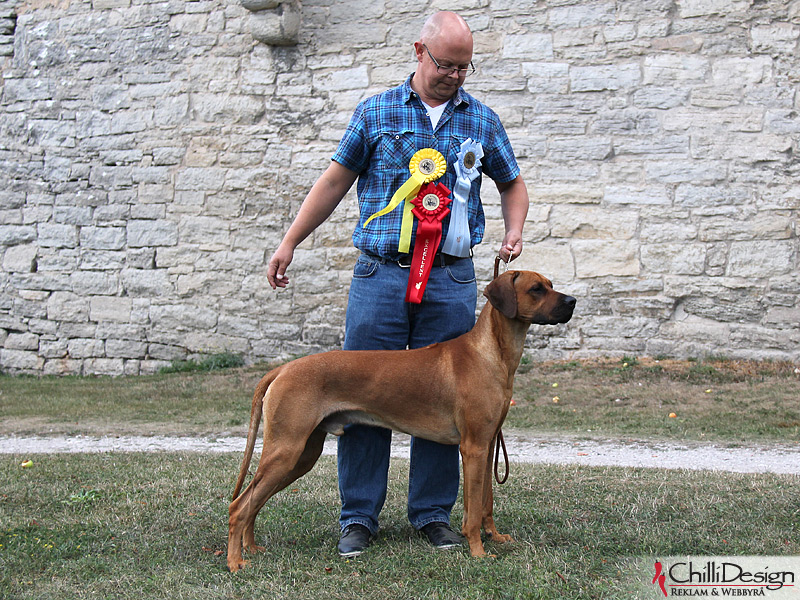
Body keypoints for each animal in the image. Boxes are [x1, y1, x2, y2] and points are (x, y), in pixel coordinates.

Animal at [225, 270, 576, 568]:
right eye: (536, 289)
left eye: (550, 284)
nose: (572, 301)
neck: (491, 353)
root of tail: (283, 368)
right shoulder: (473, 448)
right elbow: (474, 510)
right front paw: (477, 551)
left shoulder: (488, 445)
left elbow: (486, 502)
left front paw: (495, 537)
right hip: (286, 449)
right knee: (239, 505)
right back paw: (235, 561)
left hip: (301, 455)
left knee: (254, 501)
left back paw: (252, 548)